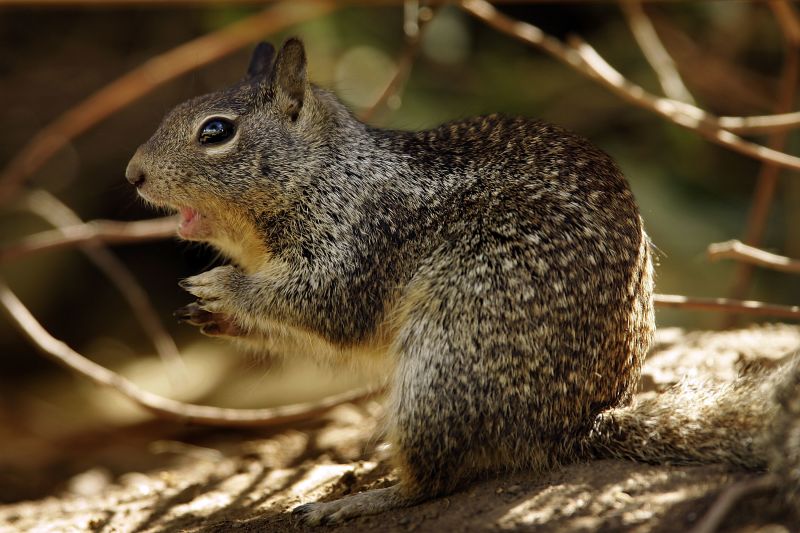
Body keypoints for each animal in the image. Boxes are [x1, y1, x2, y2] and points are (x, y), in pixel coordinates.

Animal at [125, 39, 800, 524]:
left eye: (216, 131)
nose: (133, 174)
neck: (327, 171)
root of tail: (579, 424)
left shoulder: (361, 239)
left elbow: (327, 306)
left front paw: (223, 289)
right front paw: (210, 314)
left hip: (442, 366)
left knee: (433, 481)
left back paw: (355, 500)